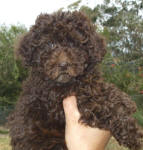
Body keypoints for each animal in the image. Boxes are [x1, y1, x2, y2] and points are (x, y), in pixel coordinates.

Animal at [8, 11, 143, 149]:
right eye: (50, 44)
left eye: (75, 44)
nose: (63, 65)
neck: (67, 83)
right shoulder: (58, 102)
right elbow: (99, 103)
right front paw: (131, 133)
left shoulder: (88, 81)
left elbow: (99, 87)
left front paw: (124, 99)